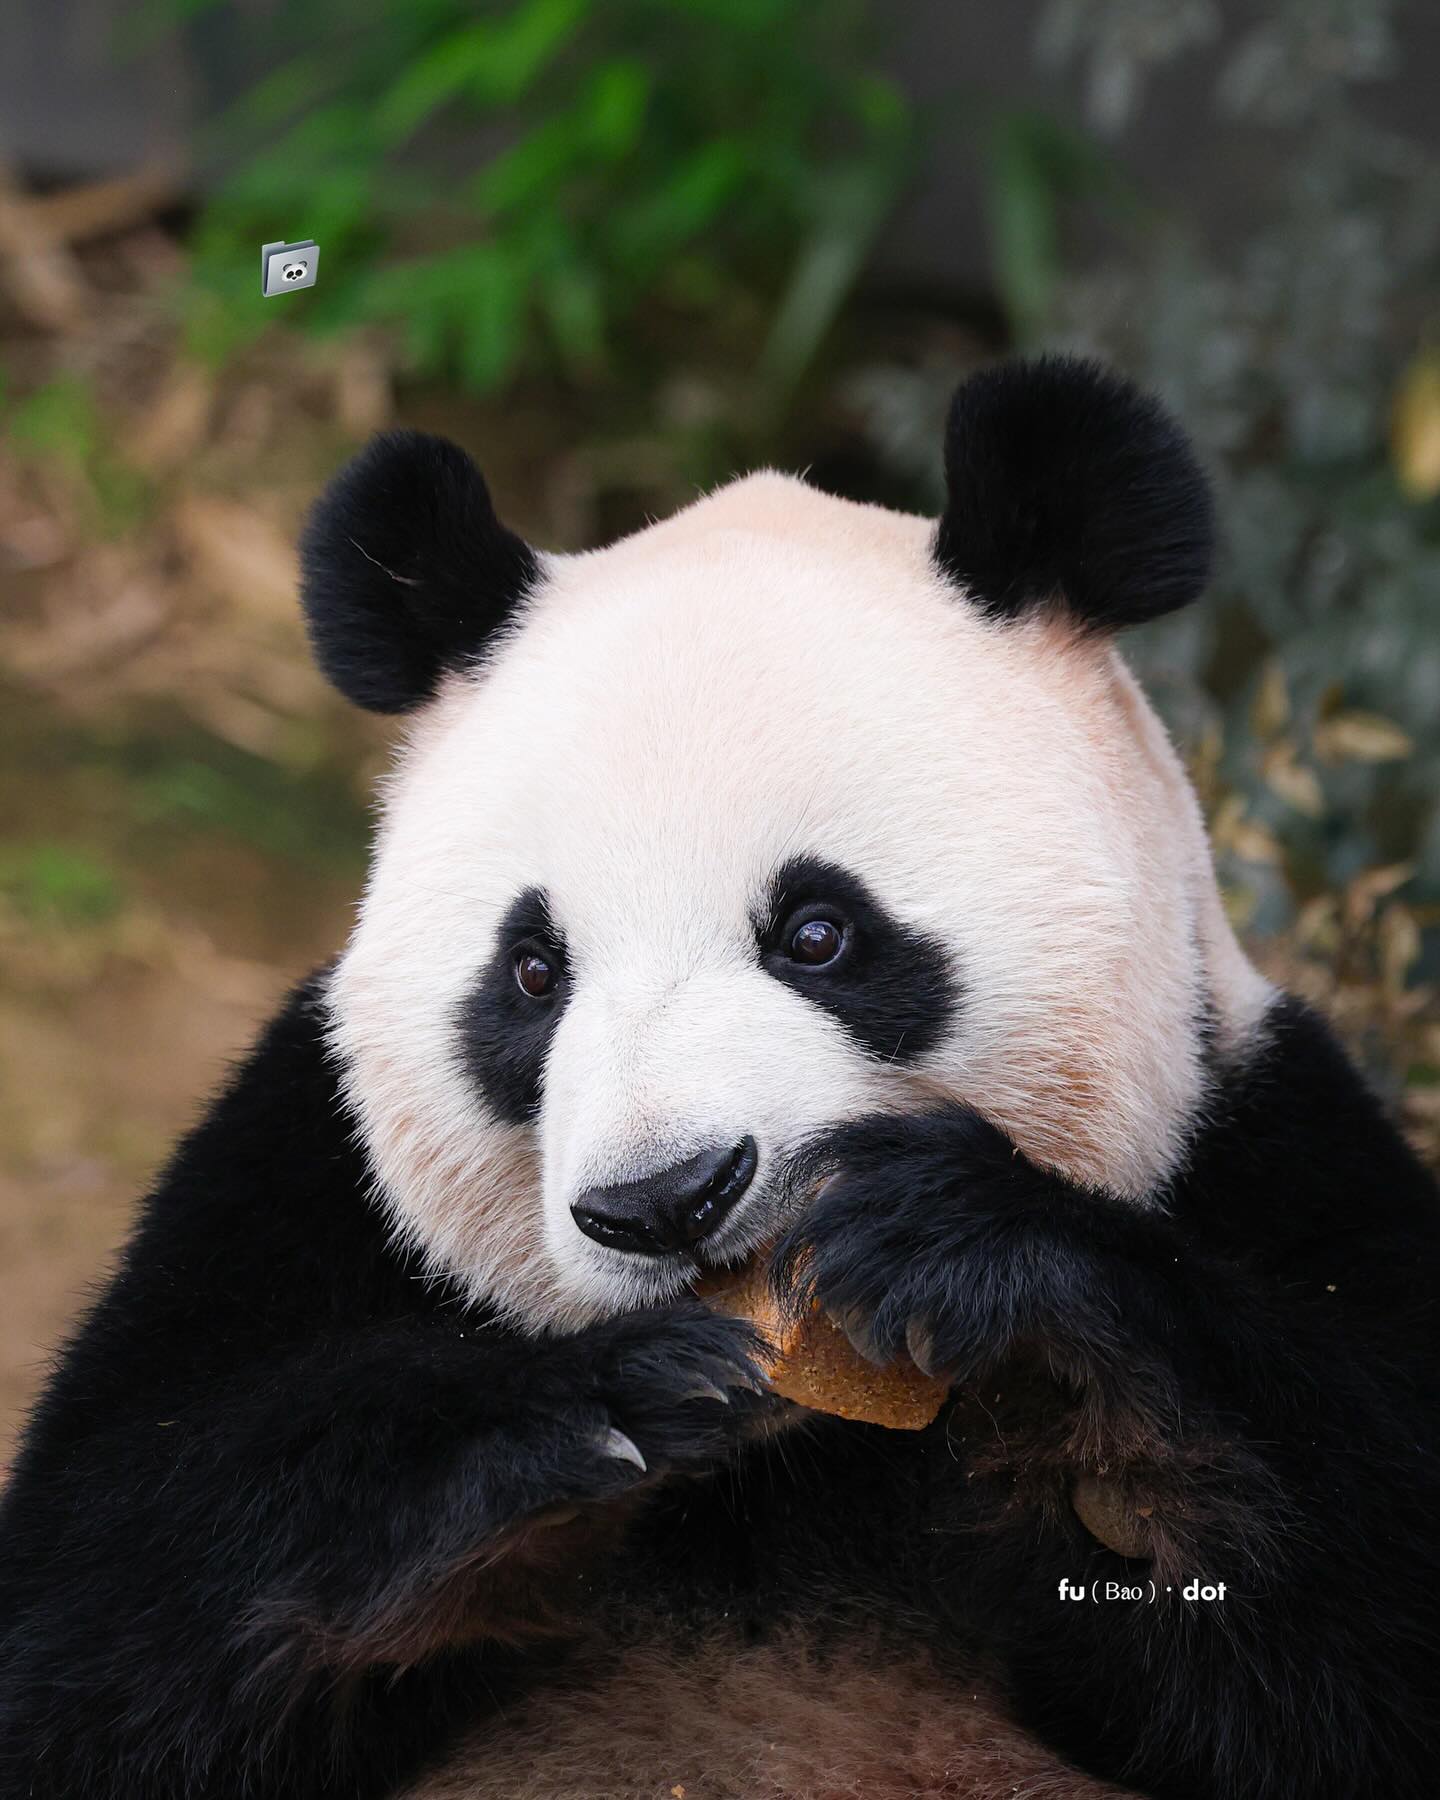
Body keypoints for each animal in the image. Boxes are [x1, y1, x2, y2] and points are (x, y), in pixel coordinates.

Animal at [2, 354, 1440, 1800]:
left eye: (818, 933)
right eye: (534, 973)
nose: (665, 1201)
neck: (796, 1456)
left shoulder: (1260, 1130)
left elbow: (1361, 1578)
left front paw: (966, 1251)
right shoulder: (294, 1168)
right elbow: (101, 1590)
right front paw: (585, 1418)